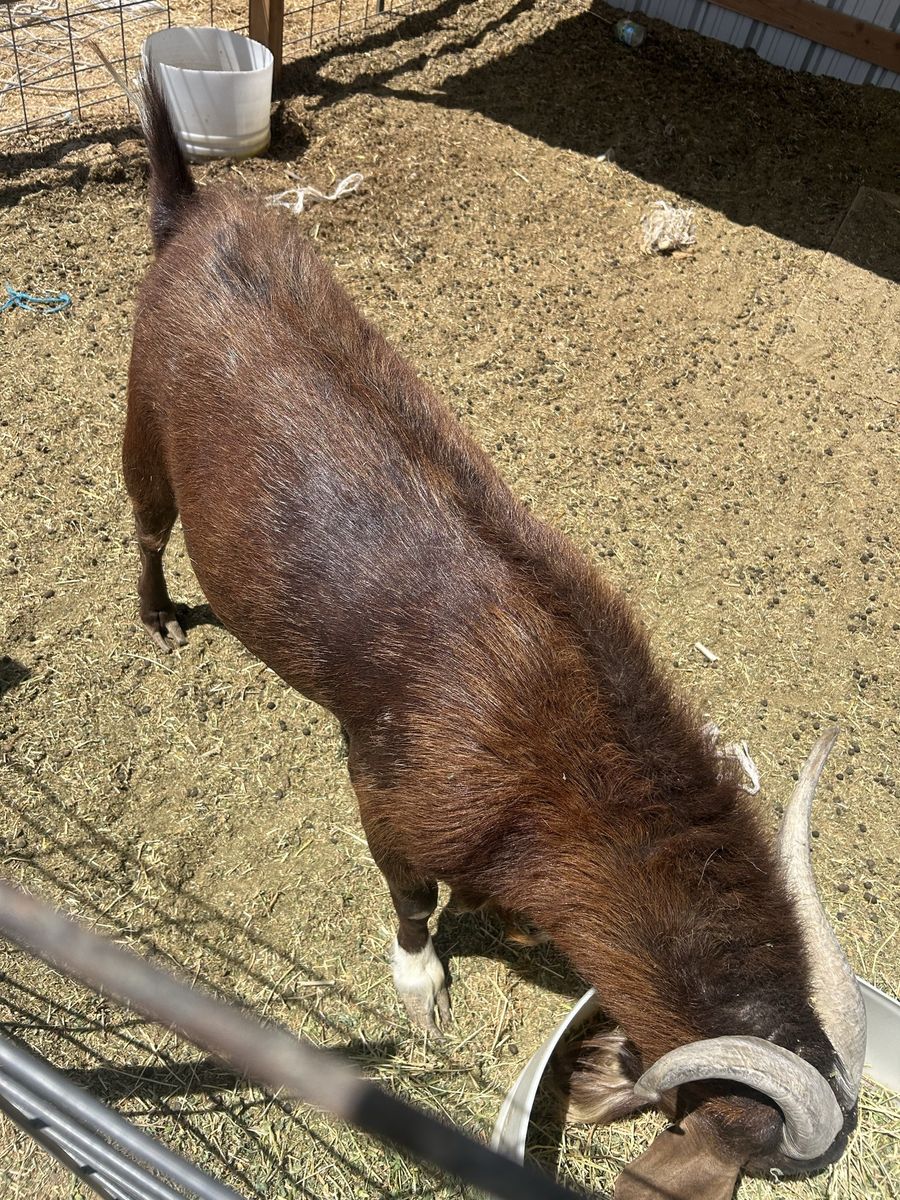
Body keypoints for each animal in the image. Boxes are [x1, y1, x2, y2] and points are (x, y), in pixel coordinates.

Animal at [124, 76, 866, 1200]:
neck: (564, 767)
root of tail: (195, 211)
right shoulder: (398, 793)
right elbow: (408, 891)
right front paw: (420, 982)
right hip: (143, 411)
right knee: (145, 522)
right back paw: (161, 618)